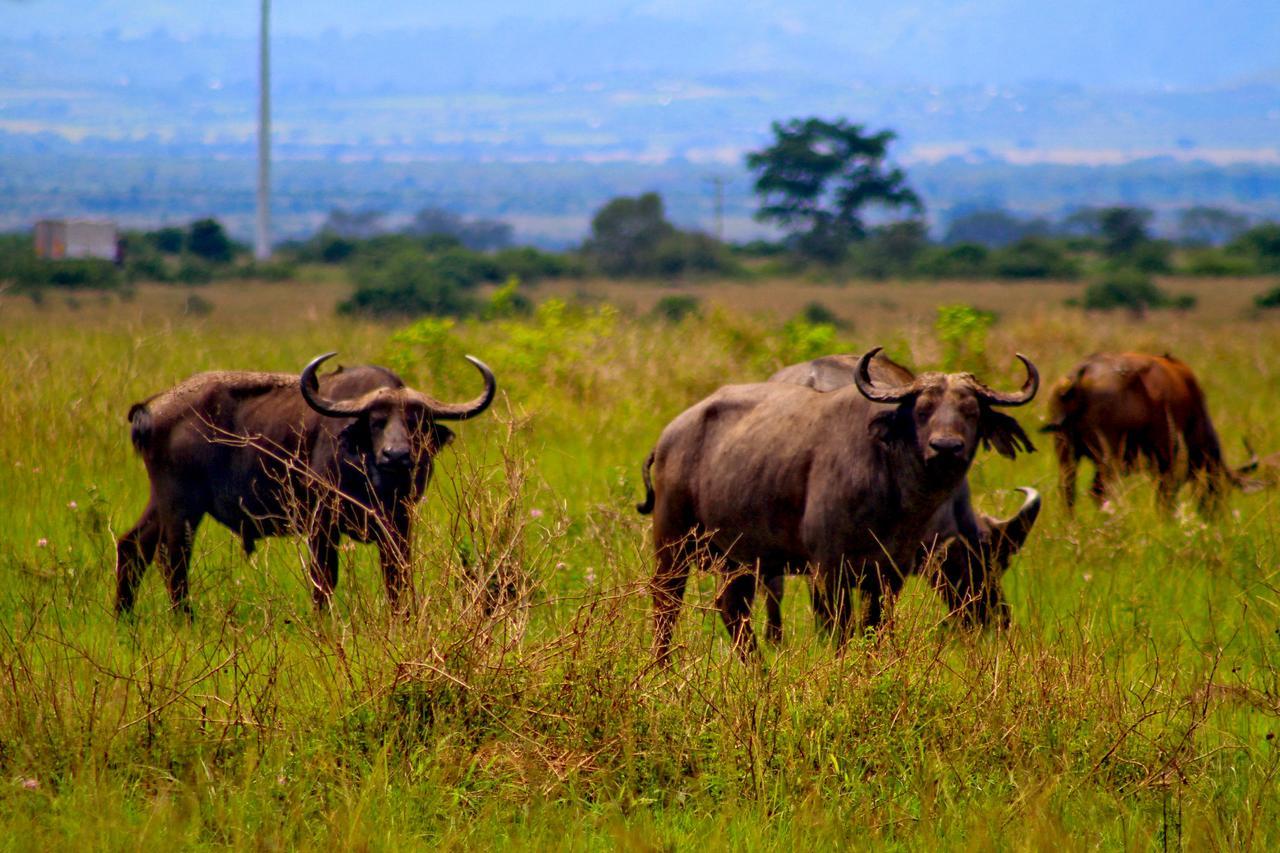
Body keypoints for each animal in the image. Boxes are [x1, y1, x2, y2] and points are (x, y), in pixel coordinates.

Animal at [115, 348, 494, 614]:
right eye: (376, 421)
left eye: (416, 422)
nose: (396, 456)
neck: (373, 480)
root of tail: (153, 407)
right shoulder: (321, 523)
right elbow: (324, 579)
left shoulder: (400, 523)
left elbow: (397, 577)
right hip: (181, 506)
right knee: (173, 560)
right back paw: (184, 618)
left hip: (161, 502)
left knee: (132, 547)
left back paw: (125, 618)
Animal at [1044, 348, 1254, 507]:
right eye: (1221, 488)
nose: (1215, 515)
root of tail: (1081, 373)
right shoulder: (1166, 464)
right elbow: (1165, 500)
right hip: (1108, 461)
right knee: (1098, 492)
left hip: (1067, 455)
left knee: (1068, 492)